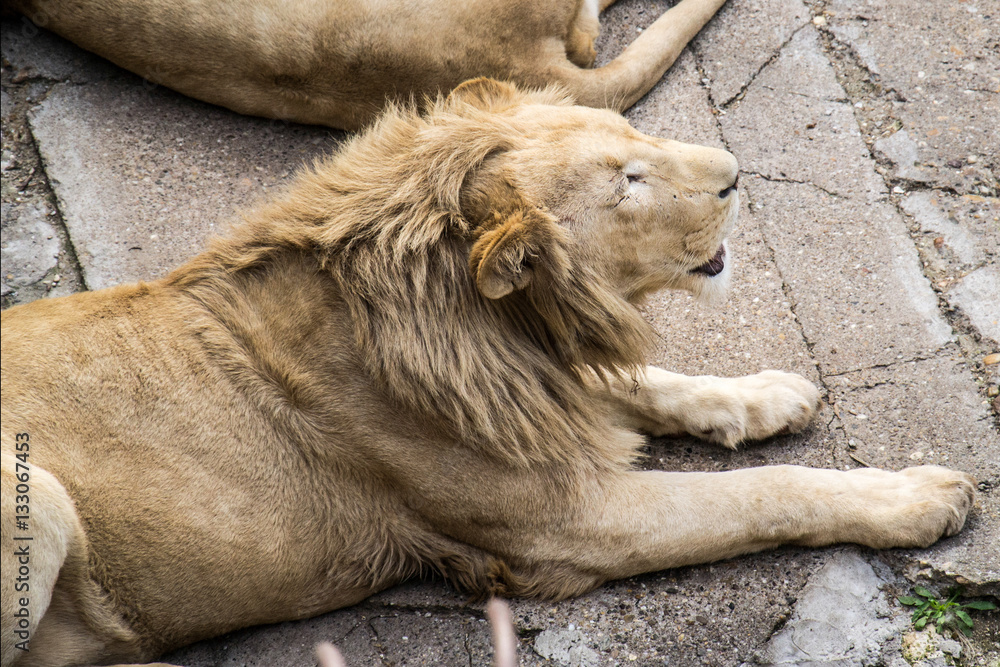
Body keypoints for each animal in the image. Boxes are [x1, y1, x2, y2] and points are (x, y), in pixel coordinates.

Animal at [0, 79, 976, 666]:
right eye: (627, 180)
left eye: (632, 129)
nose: (737, 173)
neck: (500, 330)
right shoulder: (569, 527)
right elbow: (767, 493)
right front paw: (920, 496)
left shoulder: (547, 389)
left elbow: (647, 381)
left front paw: (766, 393)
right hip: (39, 497)